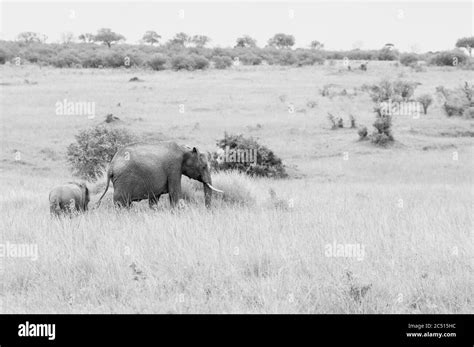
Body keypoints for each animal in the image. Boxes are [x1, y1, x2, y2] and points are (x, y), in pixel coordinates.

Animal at [96, 142, 224, 209]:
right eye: (204, 167)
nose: (207, 210)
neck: (185, 149)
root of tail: (111, 166)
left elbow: (154, 199)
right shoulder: (174, 168)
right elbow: (175, 193)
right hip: (123, 181)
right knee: (121, 204)